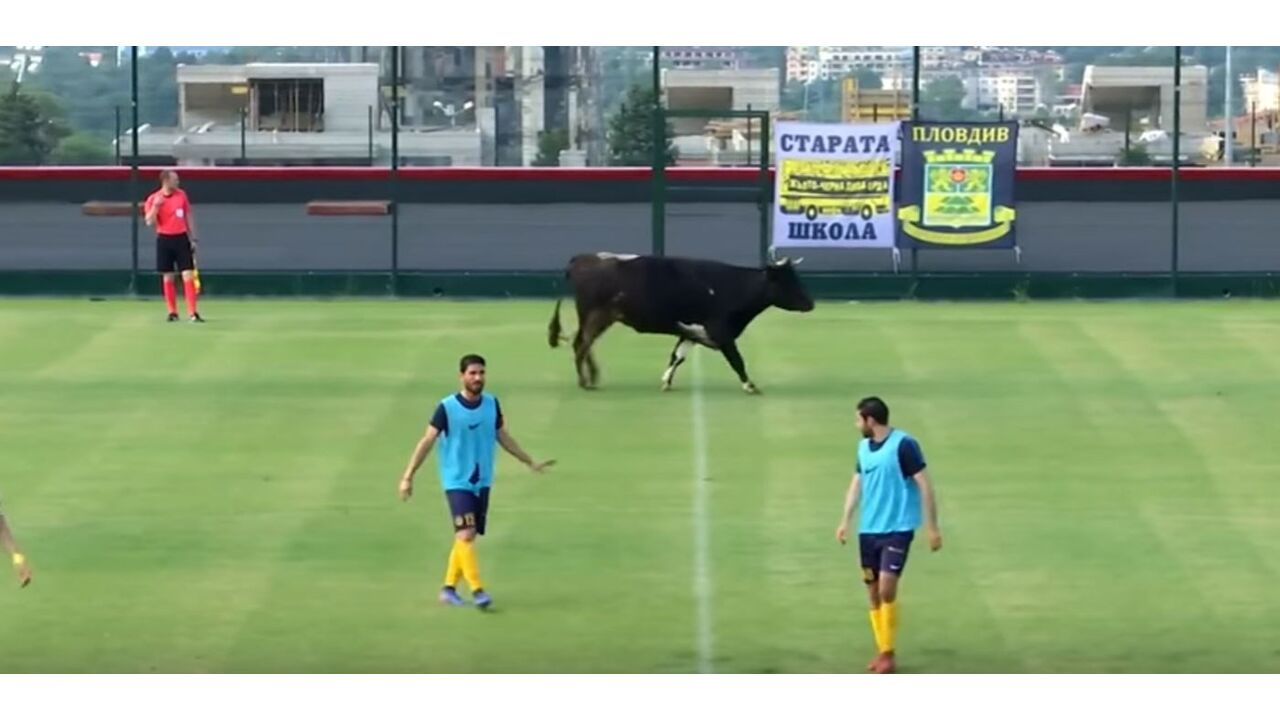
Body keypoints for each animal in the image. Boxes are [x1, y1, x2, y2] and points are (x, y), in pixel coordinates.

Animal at [545, 249, 814, 389]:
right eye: (786, 281)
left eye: (796, 277)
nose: (810, 303)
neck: (732, 288)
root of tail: (584, 258)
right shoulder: (722, 333)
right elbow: (737, 360)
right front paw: (750, 386)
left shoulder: (690, 331)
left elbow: (677, 356)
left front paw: (666, 381)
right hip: (595, 314)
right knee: (581, 344)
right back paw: (585, 381)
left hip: (597, 317)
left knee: (584, 344)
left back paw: (591, 377)